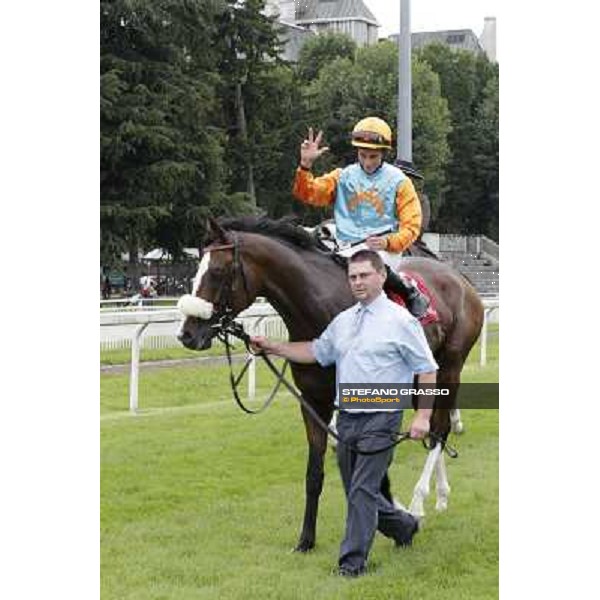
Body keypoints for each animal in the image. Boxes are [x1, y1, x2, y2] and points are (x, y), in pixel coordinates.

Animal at [177, 216, 482, 548]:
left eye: (218, 272)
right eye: (195, 272)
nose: (186, 334)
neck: (319, 309)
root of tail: (460, 277)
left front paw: (395, 516)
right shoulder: (313, 401)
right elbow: (315, 473)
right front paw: (306, 539)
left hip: (450, 366)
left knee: (439, 427)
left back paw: (418, 501)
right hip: (420, 377)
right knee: (429, 426)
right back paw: (440, 495)